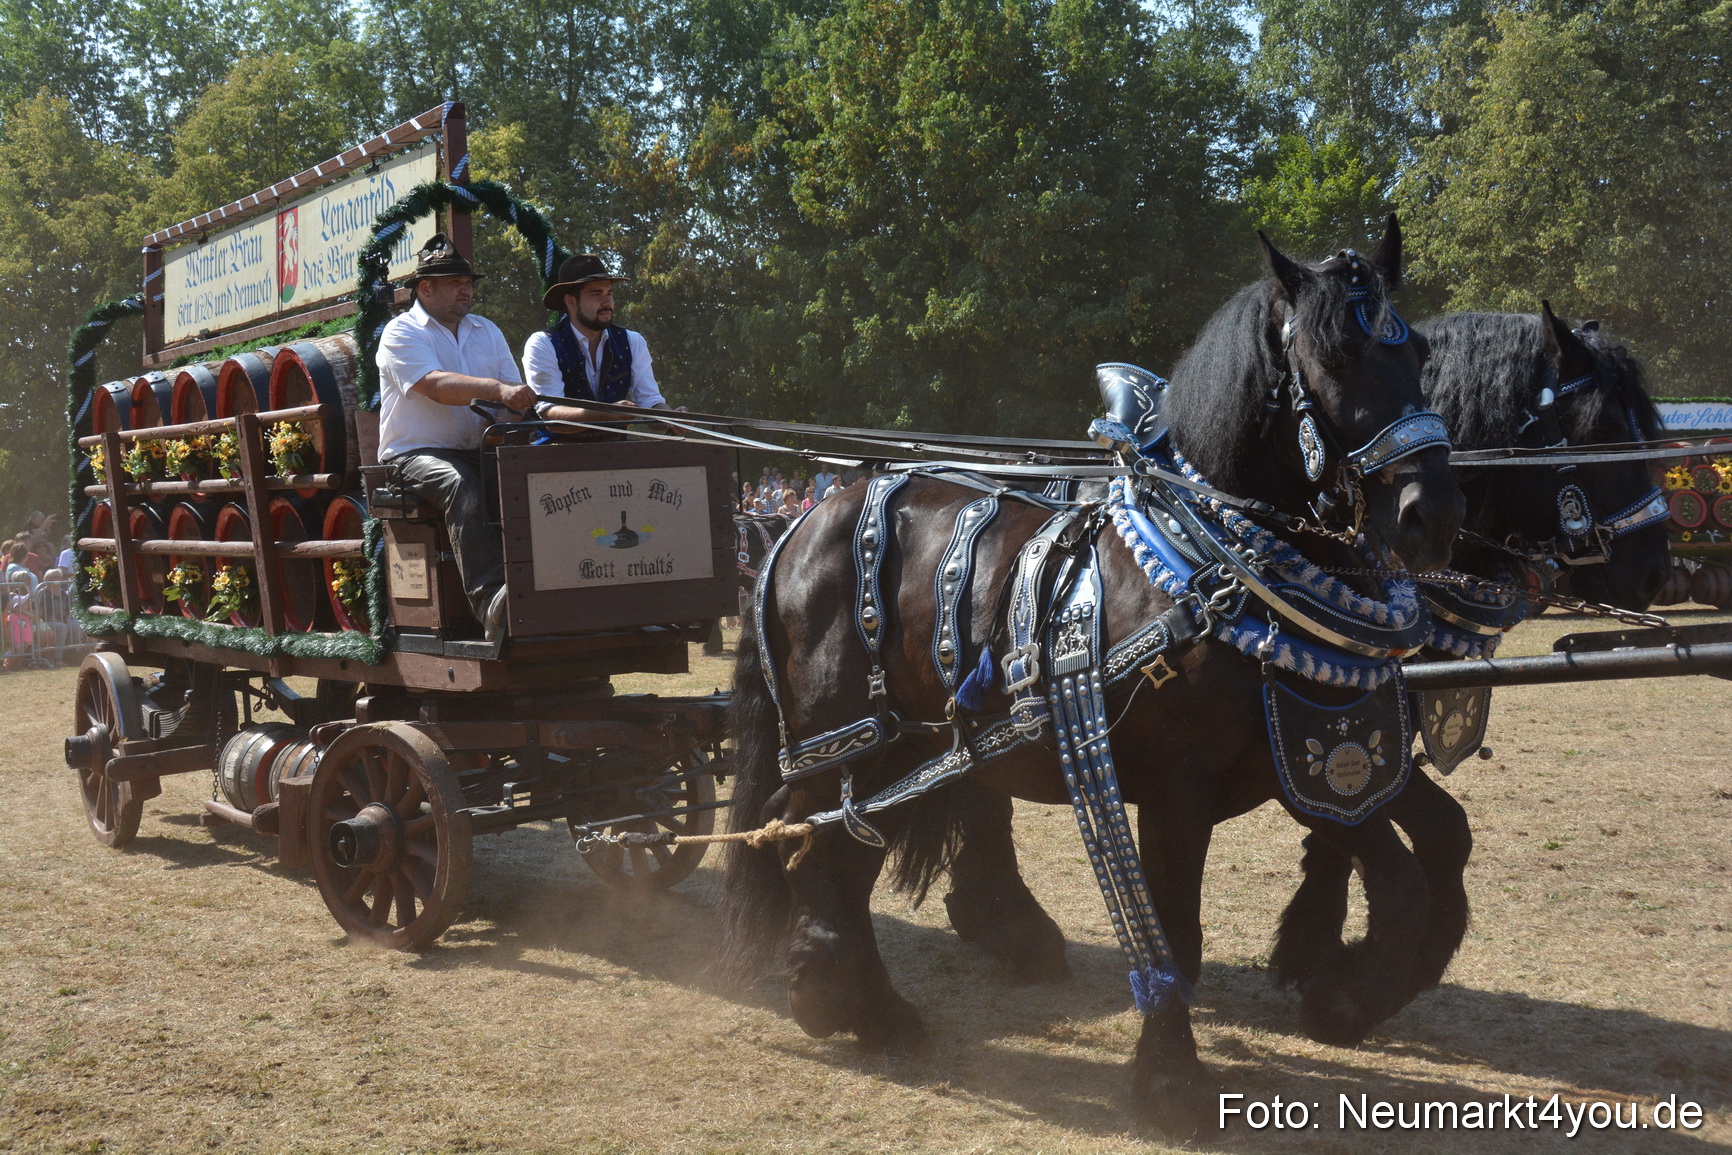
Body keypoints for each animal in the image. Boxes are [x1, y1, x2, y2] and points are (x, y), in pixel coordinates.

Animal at [717, 218, 1465, 1132]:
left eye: (1415, 350)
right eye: (1333, 357)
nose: (1431, 514)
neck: (1211, 573)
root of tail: (798, 524)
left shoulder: (1323, 756)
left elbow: (1433, 853)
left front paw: (1348, 997)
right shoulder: (1184, 786)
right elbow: (1179, 928)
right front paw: (1173, 1077)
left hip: (905, 751)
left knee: (840, 852)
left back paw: (868, 1009)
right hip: (847, 741)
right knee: (808, 842)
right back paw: (837, 996)